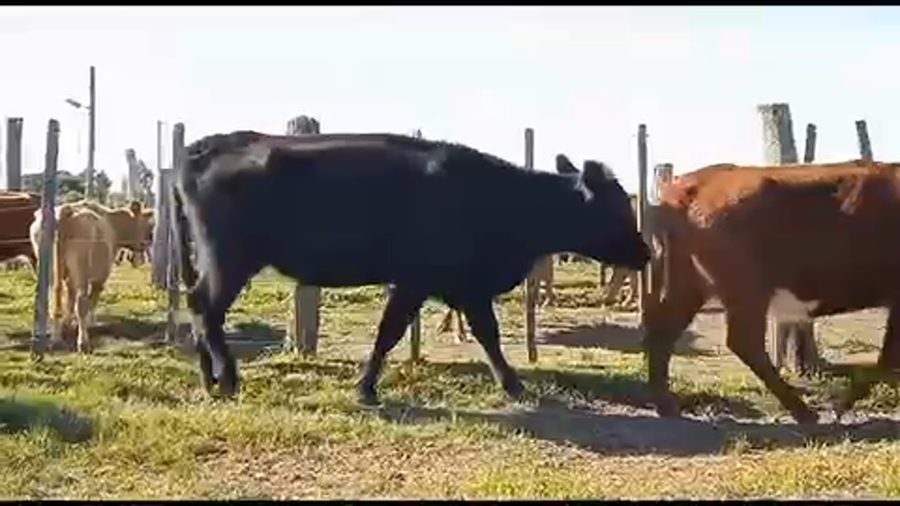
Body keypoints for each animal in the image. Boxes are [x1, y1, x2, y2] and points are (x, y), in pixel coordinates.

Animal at [30, 203, 117, 353]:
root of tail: (65, 210)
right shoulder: (99, 280)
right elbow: (89, 303)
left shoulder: (70, 280)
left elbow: (70, 301)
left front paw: (67, 325)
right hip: (80, 266)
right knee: (81, 303)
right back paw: (83, 343)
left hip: (48, 267)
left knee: (53, 302)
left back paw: (56, 340)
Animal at [172, 131, 651, 405]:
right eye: (616, 208)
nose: (646, 253)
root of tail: (202, 148)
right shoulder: (417, 281)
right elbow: (391, 332)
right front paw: (366, 388)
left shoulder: (465, 287)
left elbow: (487, 336)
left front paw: (512, 384)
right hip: (229, 259)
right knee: (205, 309)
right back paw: (227, 379)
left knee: (199, 310)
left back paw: (209, 378)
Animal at [643, 159, 900, 425]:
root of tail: (695, 181)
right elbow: (889, 356)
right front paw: (843, 406)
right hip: (746, 289)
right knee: (745, 342)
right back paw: (802, 411)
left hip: (690, 285)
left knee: (663, 331)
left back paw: (665, 406)